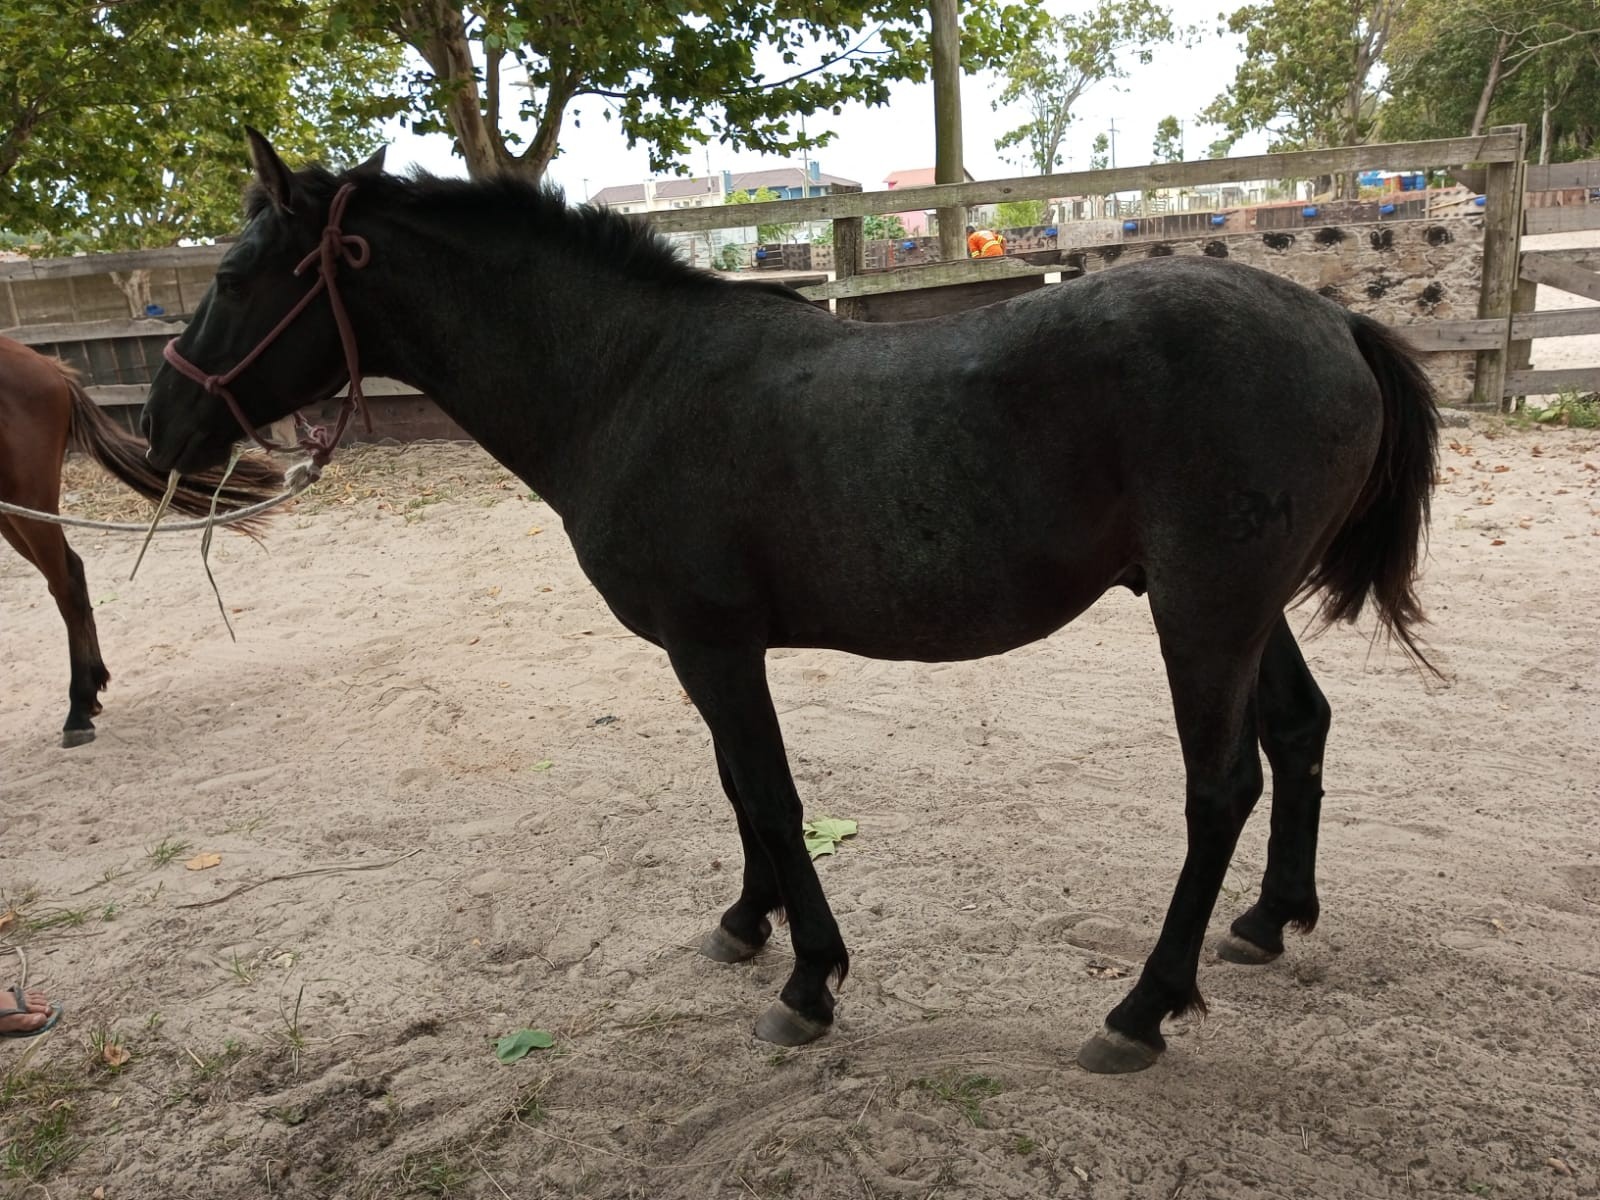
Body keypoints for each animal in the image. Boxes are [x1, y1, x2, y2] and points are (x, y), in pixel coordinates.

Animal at [140, 130, 1439, 1073]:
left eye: (235, 276)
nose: (163, 425)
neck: (629, 382)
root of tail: (1334, 317)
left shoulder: (711, 644)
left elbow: (769, 793)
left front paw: (808, 983)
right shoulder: (707, 652)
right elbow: (739, 789)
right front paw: (743, 922)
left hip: (1201, 609)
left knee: (1220, 788)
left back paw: (1140, 1010)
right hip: (1239, 608)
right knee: (1301, 730)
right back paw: (1269, 922)